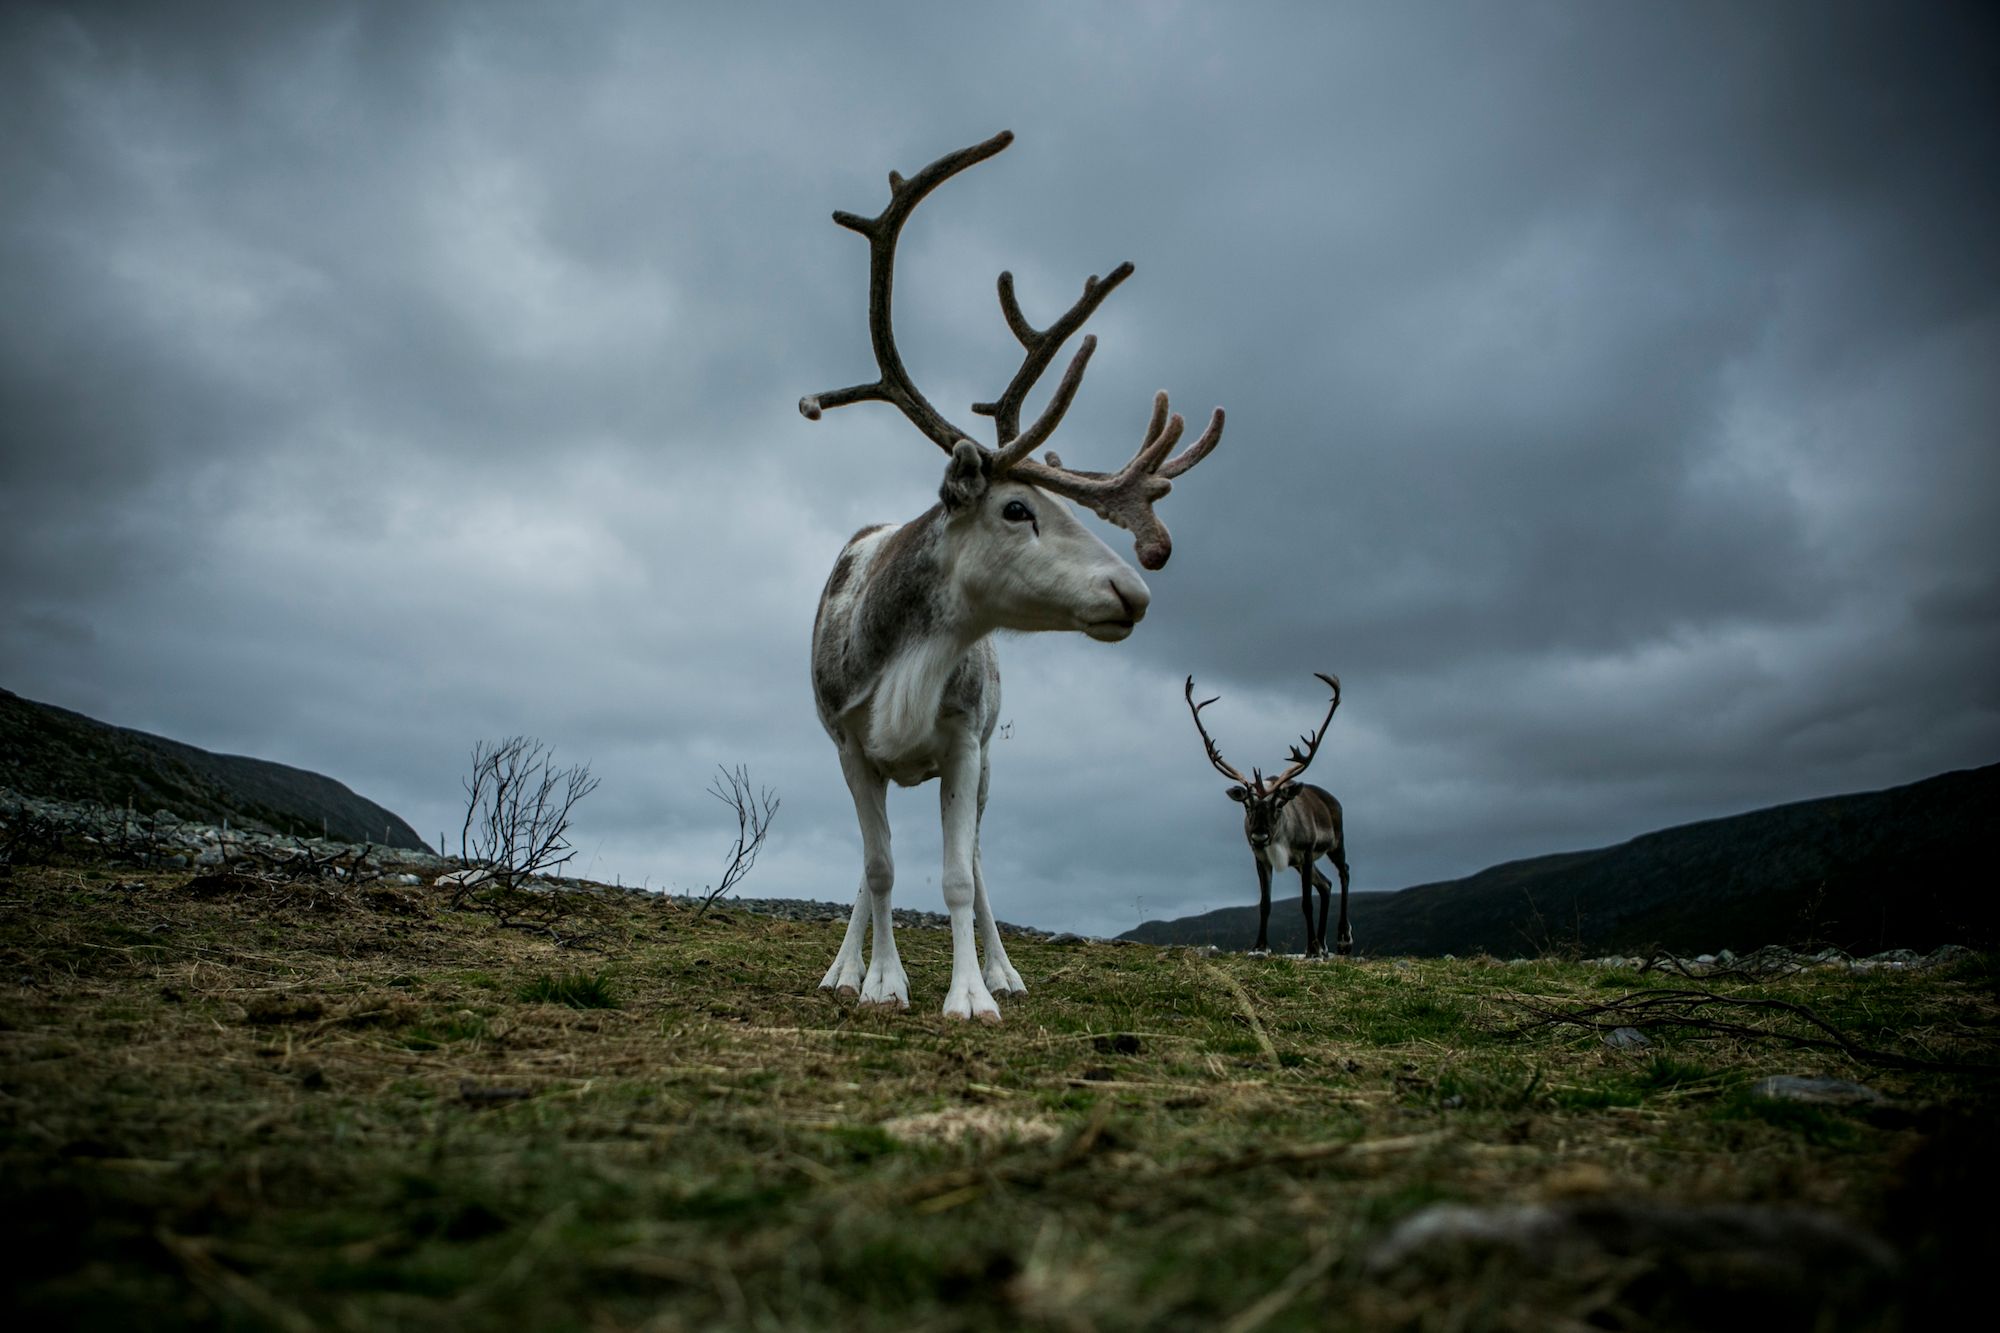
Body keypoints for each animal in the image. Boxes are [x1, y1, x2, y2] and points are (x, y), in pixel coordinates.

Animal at [800, 130, 1224, 1021]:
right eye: (1017, 507)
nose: (1136, 589)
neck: (903, 658)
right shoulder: (849, 744)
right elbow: (878, 867)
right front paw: (879, 982)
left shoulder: (965, 739)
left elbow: (960, 874)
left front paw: (971, 994)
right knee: (871, 861)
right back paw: (846, 967)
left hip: (989, 759)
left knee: (979, 857)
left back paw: (1001, 968)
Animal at [1185, 672, 1352, 958]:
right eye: (1247, 805)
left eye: (1279, 804)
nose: (1260, 835)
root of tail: (1332, 799)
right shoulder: (1261, 858)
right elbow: (1265, 902)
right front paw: (1261, 946)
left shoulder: (1307, 851)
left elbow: (1306, 902)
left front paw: (1311, 949)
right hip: (1301, 863)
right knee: (1326, 885)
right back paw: (1323, 944)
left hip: (1335, 843)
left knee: (1344, 873)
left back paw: (1341, 940)